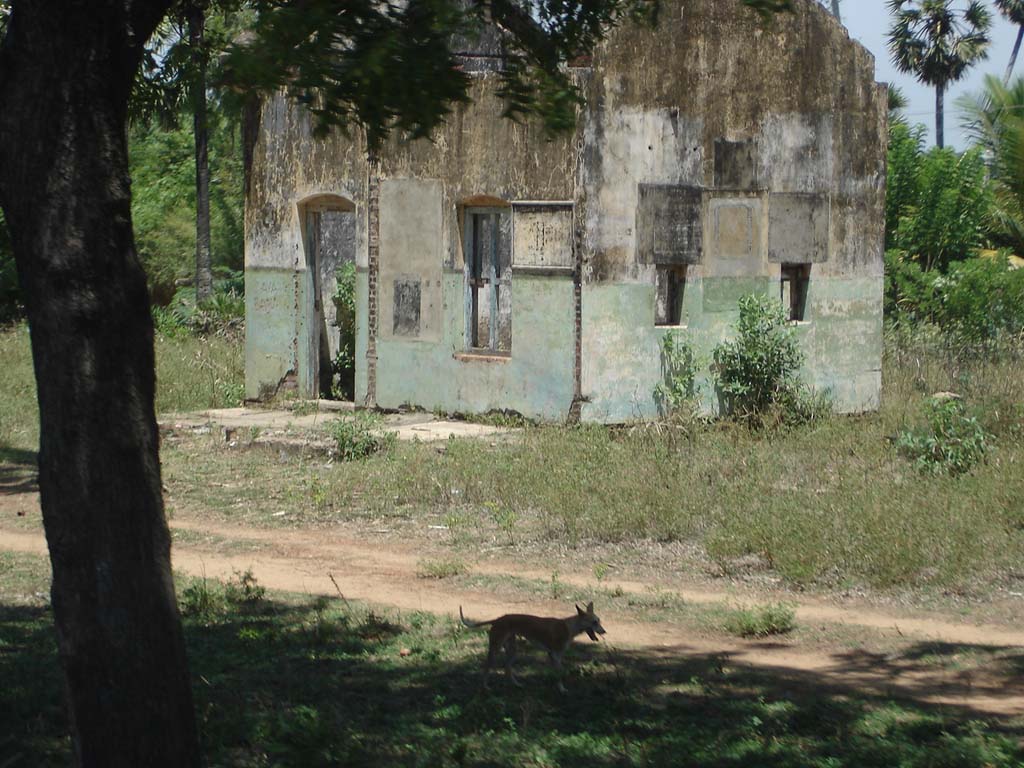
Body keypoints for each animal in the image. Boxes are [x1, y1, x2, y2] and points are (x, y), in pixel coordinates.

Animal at [460, 606, 602, 696]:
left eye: (599, 621)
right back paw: (485, 687)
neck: (568, 626)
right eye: (594, 622)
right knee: (487, 666)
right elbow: (560, 674)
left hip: (513, 650)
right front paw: (562, 690)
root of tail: (498, 619)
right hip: (495, 649)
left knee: (507, 668)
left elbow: (556, 674)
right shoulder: (556, 655)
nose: (604, 631)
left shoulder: (553, 655)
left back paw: (515, 685)